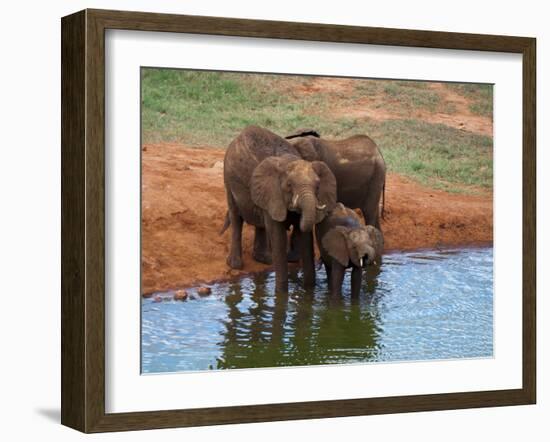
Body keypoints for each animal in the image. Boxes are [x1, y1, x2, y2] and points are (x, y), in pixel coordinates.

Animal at [223, 126, 338, 292]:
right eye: (289, 185)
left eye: (317, 186)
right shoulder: (273, 193)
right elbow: (277, 234)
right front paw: (281, 293)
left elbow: (305, 236)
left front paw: (308, 290)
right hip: (228, 179)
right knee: (236, 217)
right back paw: (235, 264)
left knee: (260, 222)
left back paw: (264, 259)